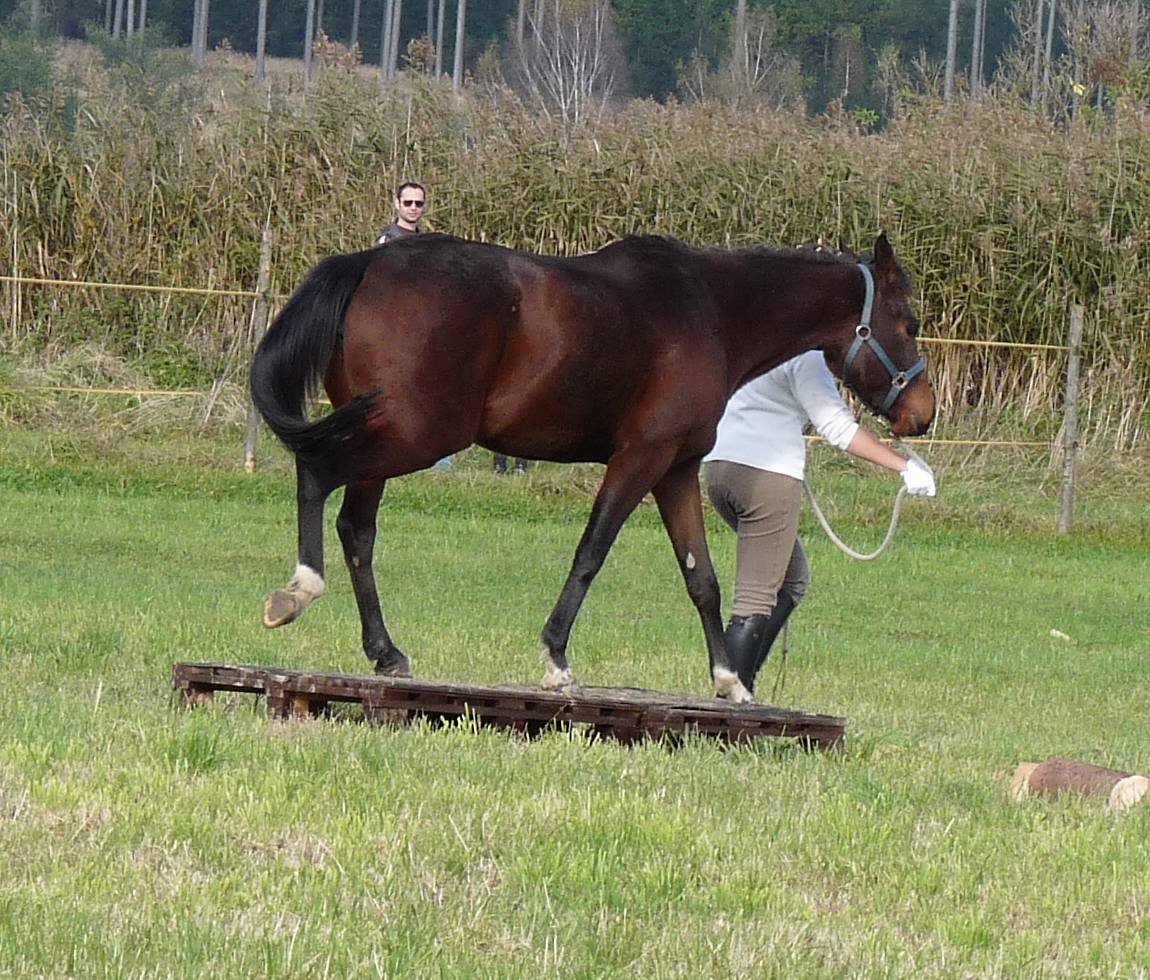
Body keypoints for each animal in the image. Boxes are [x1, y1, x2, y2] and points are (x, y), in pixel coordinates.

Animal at [249, 230, 933, 703]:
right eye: (910, 323)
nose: (922, 414)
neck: (711, 309)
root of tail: (367, 263)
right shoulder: (640, 459)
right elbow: (590, 553)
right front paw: (556, 659)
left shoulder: (676, 470)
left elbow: (703, 579)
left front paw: (729, 679)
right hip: (413, 435)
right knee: (316, 473)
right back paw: (299, 590)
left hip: (387, 437)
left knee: (357, 531)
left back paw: (386, 653)